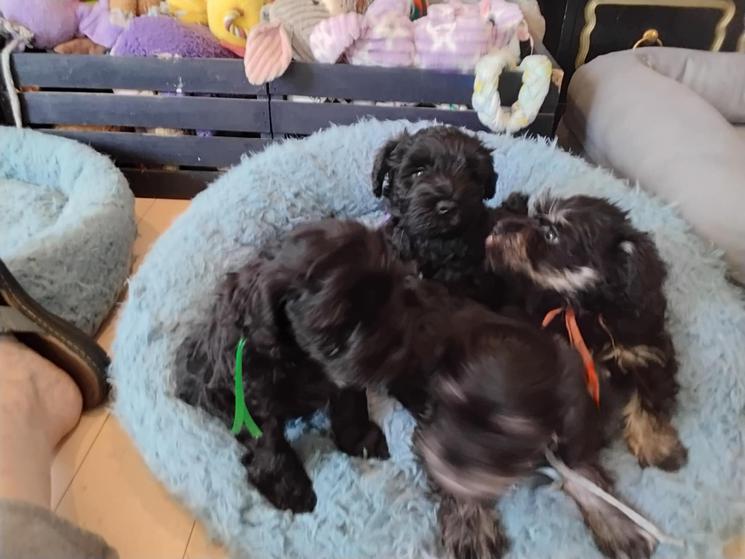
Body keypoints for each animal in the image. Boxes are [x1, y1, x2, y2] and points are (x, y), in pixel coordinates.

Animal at [485, 193, 688, 472]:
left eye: (551, 235)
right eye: (536, 218)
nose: (498, 228)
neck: (586, 308)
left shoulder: (645, 350)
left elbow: (649, 397)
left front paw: (658, 448)